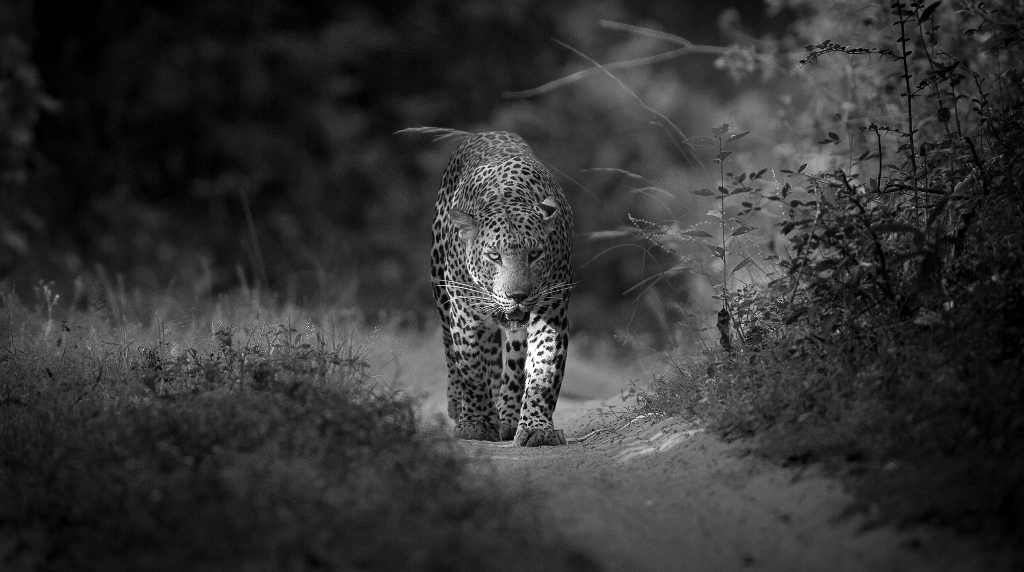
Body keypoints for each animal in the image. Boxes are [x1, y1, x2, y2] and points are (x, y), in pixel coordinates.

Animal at [429, 130, 574, 447]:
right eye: (494, 256)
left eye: (535, 254)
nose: (517, 296)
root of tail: (485, 132)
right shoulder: (464, 313)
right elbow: (471, 368)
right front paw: (476, 423)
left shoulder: (552, 313)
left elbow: (544, 371)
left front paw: (536, 428)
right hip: (440, 290)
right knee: (450, 349)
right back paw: (459, 405)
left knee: (512, 364)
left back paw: (507, 415)